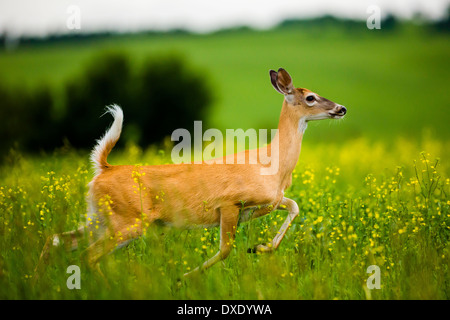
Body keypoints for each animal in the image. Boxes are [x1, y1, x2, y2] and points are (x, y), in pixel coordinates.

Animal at [35, 67, 346, 278]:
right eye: (310, 97)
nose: (341, 108)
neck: (272, 163)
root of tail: (103, 168)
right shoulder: (230, 203)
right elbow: (225, 250)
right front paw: (184, 277)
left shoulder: (267, 201)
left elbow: (294, 206)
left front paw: (261, 248)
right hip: (127, 221)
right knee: (89, 255)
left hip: (100, 216)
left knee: (60, 239)